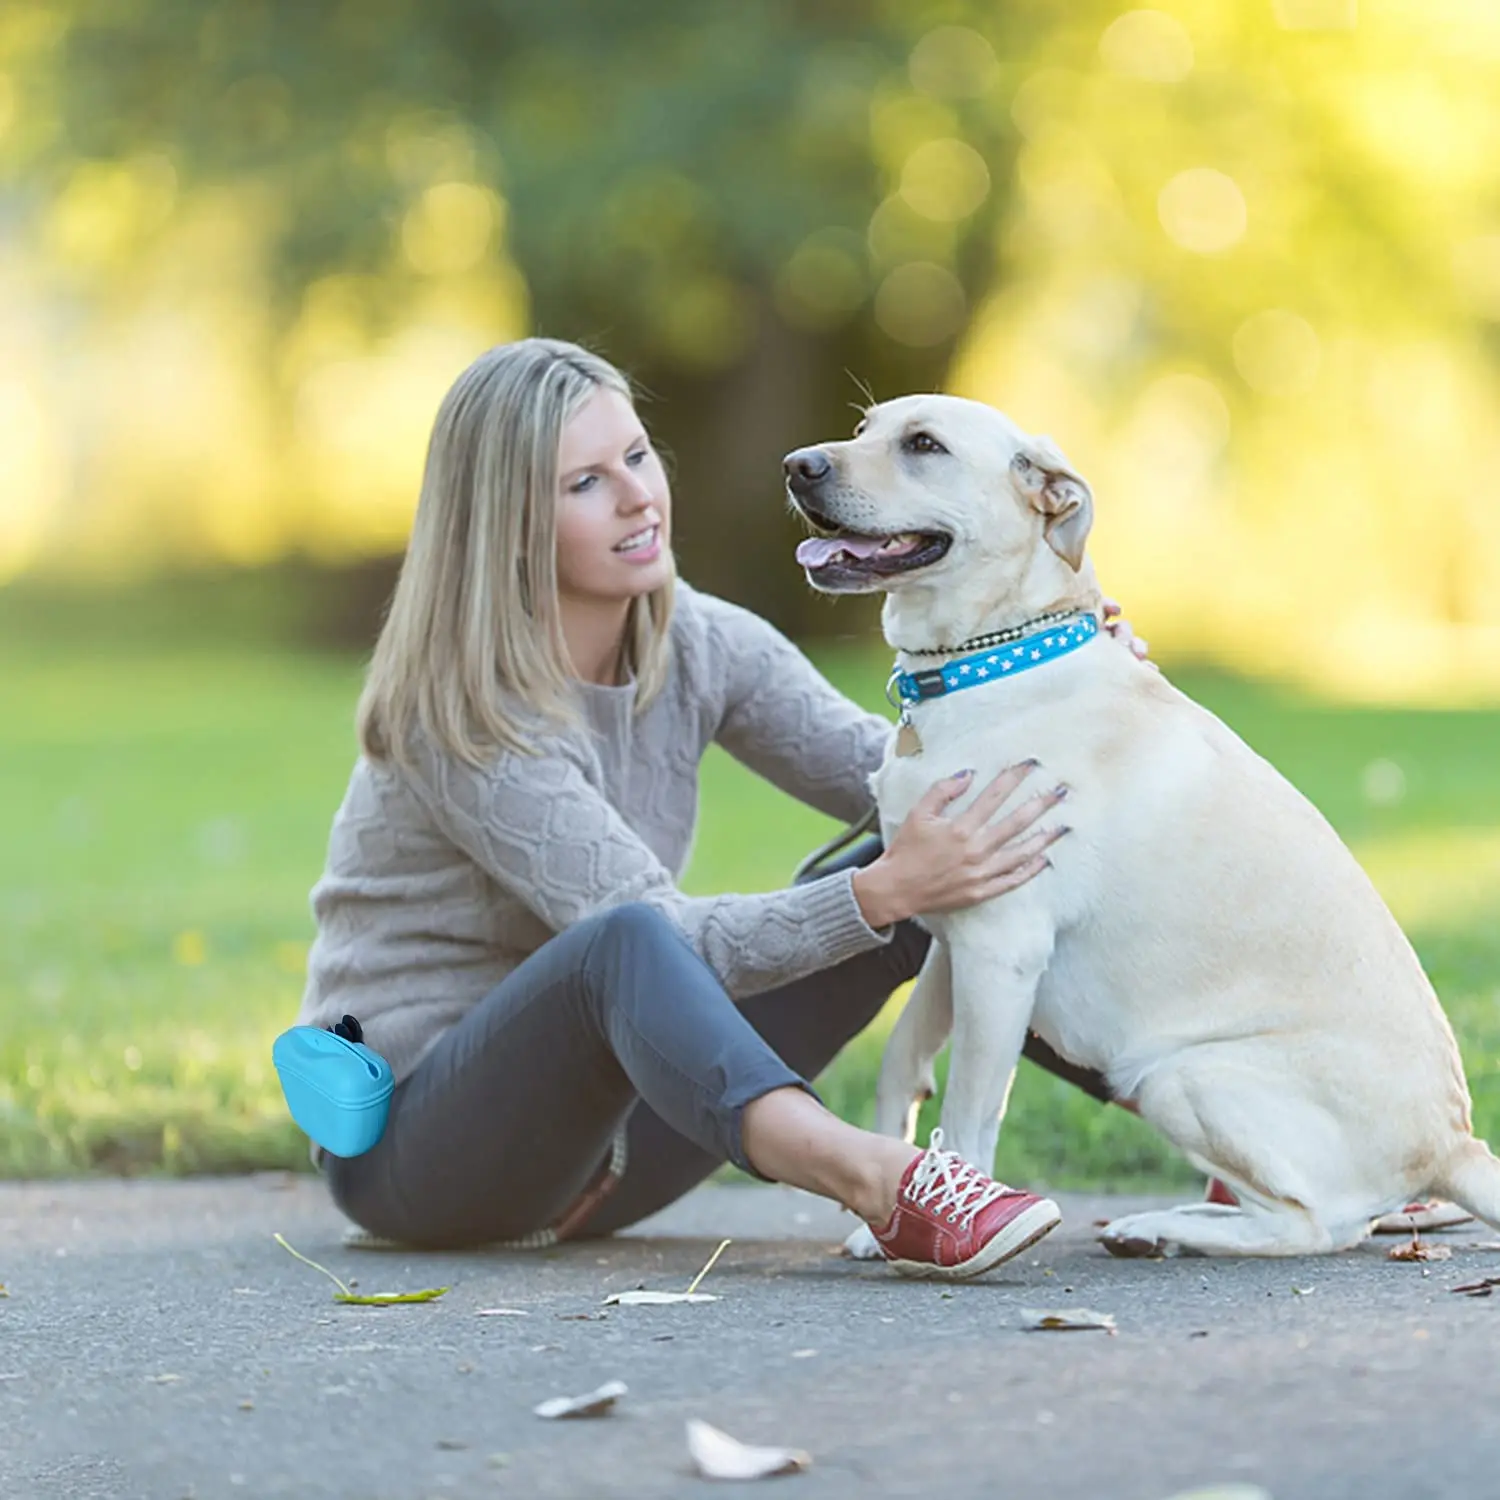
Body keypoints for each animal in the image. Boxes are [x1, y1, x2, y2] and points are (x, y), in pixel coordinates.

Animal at [786, 390, 1500, 1254]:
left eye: (924, 445)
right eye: (864, 430)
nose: (796, 466)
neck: (990, 657)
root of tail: (1454, 1145)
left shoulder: (1000, 947)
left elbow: (972, 1107)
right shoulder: (950, 936)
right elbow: (901, 1060)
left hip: (1172, 1073)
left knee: (1316, 1225)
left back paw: (1158, 1226)